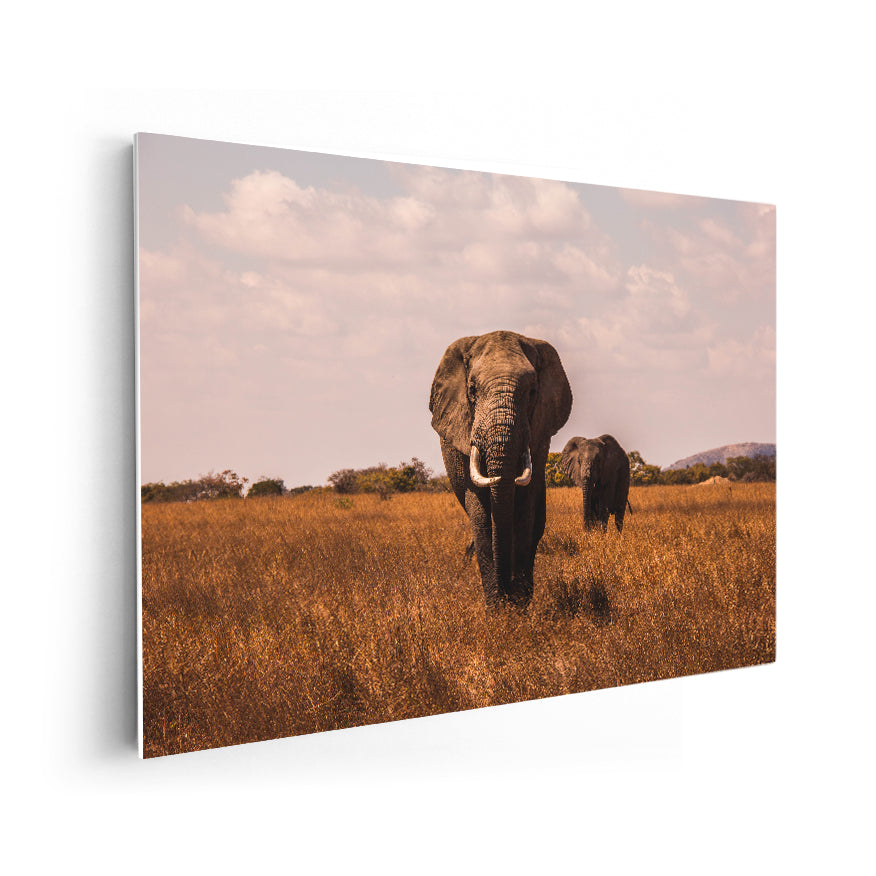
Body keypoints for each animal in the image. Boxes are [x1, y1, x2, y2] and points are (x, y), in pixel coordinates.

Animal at [430, 330, 572, 610]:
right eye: (472, 390)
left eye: (533, 391)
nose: (508, 593)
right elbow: (481, 514)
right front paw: (498, 609)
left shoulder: (538, 436)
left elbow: (525, 510)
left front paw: (518, 605)